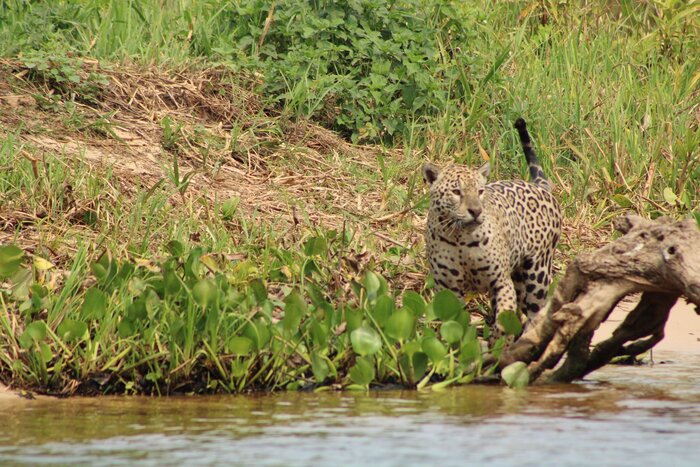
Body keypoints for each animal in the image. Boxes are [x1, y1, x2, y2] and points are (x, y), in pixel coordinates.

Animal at [422, 118, 561, 329]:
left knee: (535, 311)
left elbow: (503, 317)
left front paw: (498, 335)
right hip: (519, 279)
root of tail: (540, 186)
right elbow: (455, 324)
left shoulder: (502, 282)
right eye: (456, 192)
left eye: (480, 191)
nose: (476, 211)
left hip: (538, 274)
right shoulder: (447, 291)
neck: (460, 240)